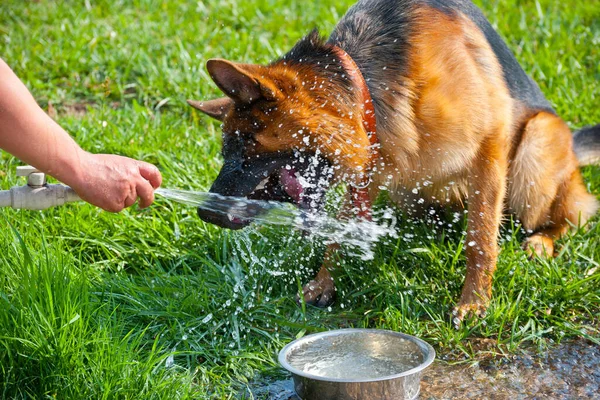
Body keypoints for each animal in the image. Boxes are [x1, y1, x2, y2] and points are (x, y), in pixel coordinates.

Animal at [186, 0, 596, 322]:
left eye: (246, 145)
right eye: (225, 151)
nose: (204, 212)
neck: (365, 89)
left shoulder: (489, 148)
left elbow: (480, 240)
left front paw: (474, 302)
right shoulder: (366, 174)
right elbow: (338, 234)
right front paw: (323, 282)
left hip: (534, 149)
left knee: (574, 213)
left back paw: (541, 242)